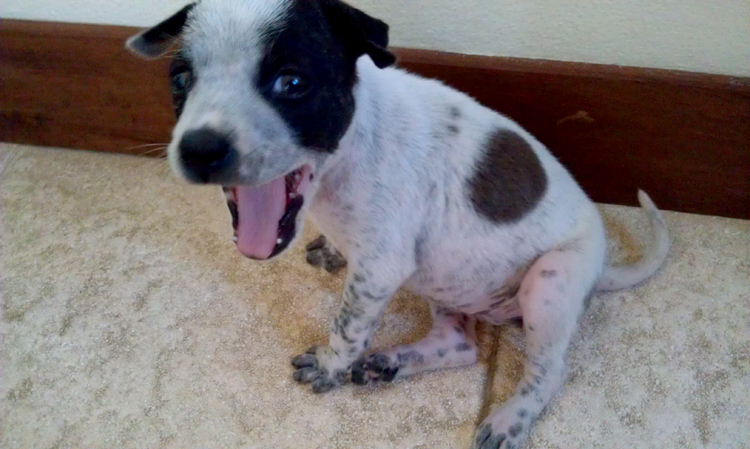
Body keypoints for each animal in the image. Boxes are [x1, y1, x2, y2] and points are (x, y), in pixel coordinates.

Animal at [126, 1, 672, 446]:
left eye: (292, 83)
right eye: (181, 80)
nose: (199, 150)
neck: (343, 157)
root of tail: (601, 267)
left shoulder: (378, 270)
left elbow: (347, 328)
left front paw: (329, 366)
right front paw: (331, 252)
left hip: (548, 283)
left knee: (549, 371)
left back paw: (509, 418)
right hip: (448, 284)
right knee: (462, 346)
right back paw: (391, 362)